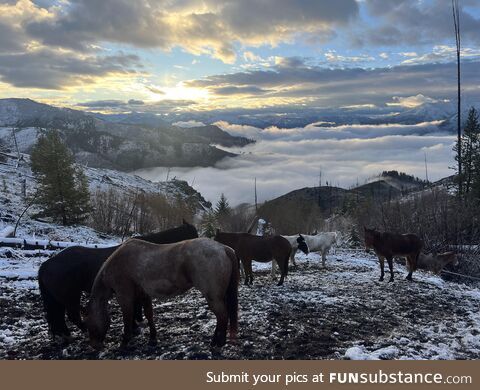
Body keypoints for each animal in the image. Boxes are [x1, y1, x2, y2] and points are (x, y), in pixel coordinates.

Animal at [35, 219, 197, 342]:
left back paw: (66, 336)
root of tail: (47, 264)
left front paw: (136, 325)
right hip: (70, 296)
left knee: (59, 317)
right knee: (72, 316)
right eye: (193, 234)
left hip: (58, 299)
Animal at [86, 238, 240, 350]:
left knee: (222, 316)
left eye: (89, 324)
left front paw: (124, 342)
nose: (95, 345)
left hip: (213, 297)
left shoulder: (124, 296)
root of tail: (223, 248)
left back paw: (219, 343)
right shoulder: (143, 294)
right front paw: (153, 339)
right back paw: (215, 341)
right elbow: (149, 315)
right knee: (222, 317)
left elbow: (127, 318)